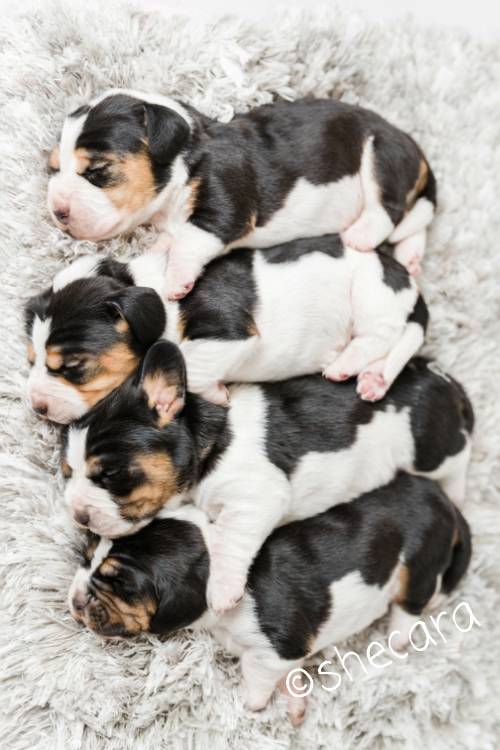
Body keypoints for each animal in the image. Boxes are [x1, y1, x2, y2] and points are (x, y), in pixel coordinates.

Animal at [25, 235, 428, 424]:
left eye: (73, 366)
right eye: (31, 361)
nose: (37, 408)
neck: (145, 284)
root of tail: (408, 282)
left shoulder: (229, 330)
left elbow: (189, 360)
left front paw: (218, 394)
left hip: (371, 292)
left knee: (385, 334)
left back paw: (348, 363)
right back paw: (373, 378)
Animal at [47, 89, 438, 298]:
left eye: (96, 171)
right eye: (52, 169)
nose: (57, 212)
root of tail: (413, 146)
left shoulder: (226, 207)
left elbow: (190, 239)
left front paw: (175, 279)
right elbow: (171, 238)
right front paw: (156, 252)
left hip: (379, 154)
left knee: (388, 208)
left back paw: (361, 234)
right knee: (414, 223)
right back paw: (410, 258)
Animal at [61, 346, 472, 616]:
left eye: (109, 473)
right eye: (67, 473)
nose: (78, 516)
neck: (208, 440)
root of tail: (444, 381)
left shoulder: (254, 500)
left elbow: (229, 542)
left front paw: (222, 589)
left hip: (432, 448)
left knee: (460, 456)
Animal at [68, 476, 470, 728]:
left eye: (123, 585)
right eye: (86, 557)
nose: (75, 600)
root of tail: (444, 501)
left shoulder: (277, 648)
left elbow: (257, 677)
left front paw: (253, 706)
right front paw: (293, 701)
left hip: (420, 562)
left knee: (412, 603)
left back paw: (397, 637)